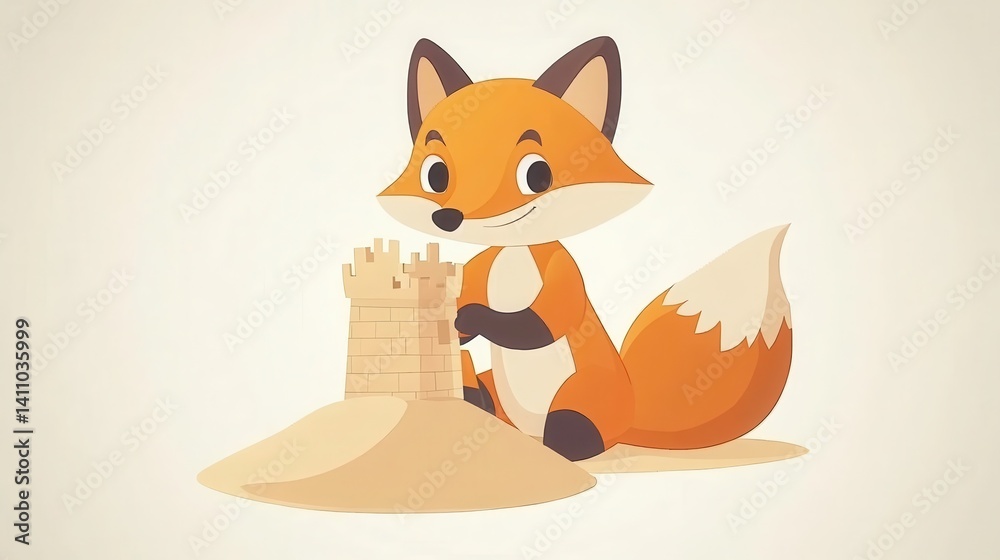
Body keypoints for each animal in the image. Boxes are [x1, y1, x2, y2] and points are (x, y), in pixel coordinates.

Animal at [377, 37, 793, 461]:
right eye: (436, 175)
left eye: (537, 175)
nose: (449, 218)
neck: (515, 252)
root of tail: (631, 411)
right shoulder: (484, 265)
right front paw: (453, 321)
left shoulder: (563, 273)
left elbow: (537, 323)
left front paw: (471, 317)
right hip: (498, 388)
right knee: (480, 391)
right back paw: (475, 397)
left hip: (585, 394)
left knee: (575, 429)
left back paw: (564, 442)